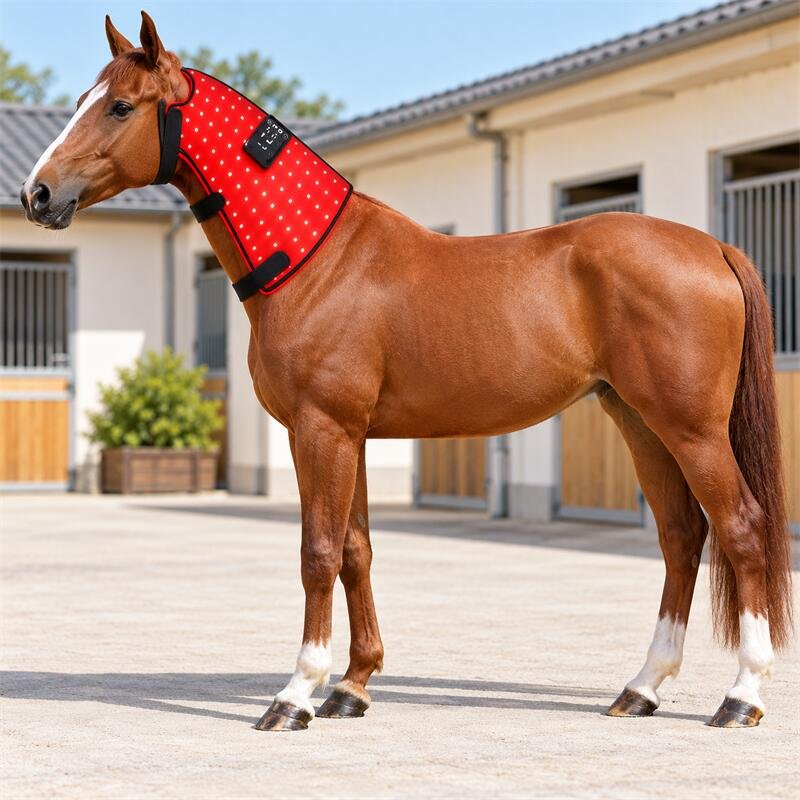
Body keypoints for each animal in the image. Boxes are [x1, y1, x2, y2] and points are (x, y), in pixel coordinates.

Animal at [20, 11, 792, 731]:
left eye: (121, 107)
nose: (38, 194)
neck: (315, 261)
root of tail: (714, 247)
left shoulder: (321, 430)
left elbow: (318, 552)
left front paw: (296, 694)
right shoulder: (349, 435)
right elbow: (356, 550)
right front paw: (353, 687)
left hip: (691, 428)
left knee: (741, 528)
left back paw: (741, 696)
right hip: (638, 420)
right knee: (681, 537)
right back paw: (640, 688)